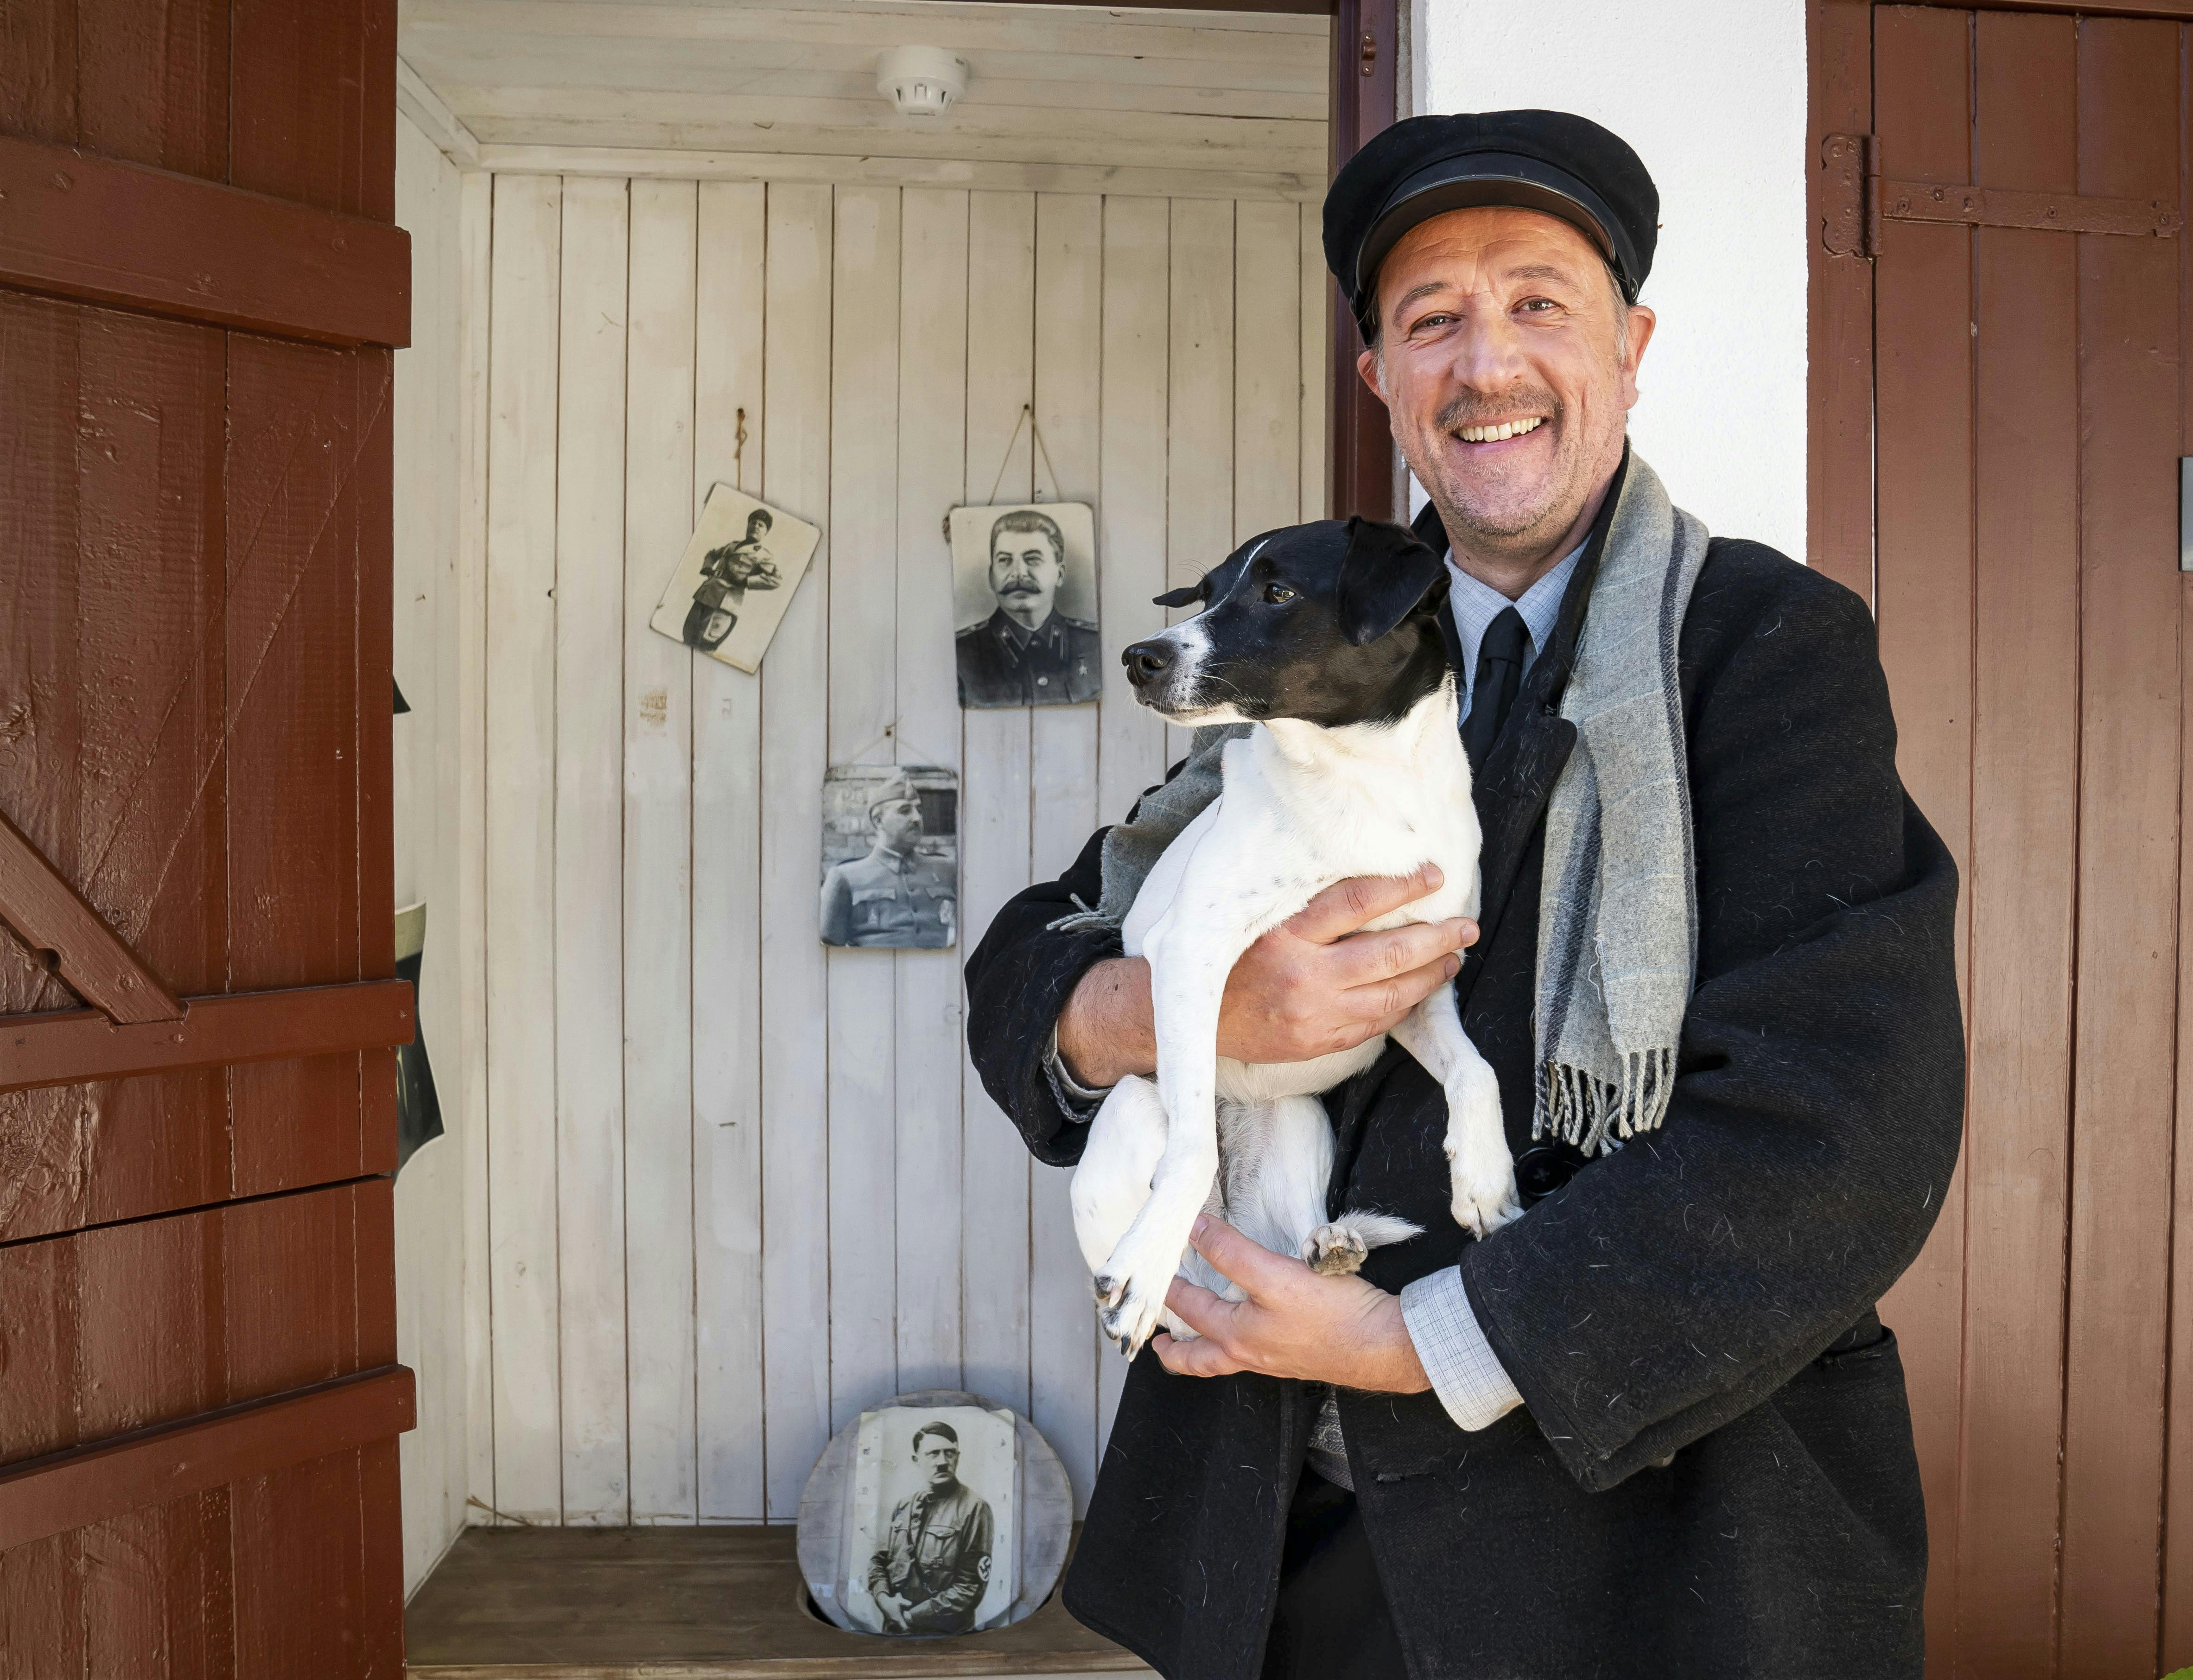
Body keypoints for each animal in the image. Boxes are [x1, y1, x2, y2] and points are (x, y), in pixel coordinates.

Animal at [1066, 513, 1517, 1351]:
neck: (1362, 789)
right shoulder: (1192, 951)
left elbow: (1477, 1070)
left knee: (1299, 1232)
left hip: (1300, 1121)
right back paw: (1156, 1267)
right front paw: (1141, 1264)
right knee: (1184, 1189)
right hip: (1138, 1103)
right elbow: (1187, 1156)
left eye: (1277, 593)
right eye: (1206, 592)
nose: (1138, 657)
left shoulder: (1421, 984)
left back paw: (1330, 1244)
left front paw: (1482, 1173)